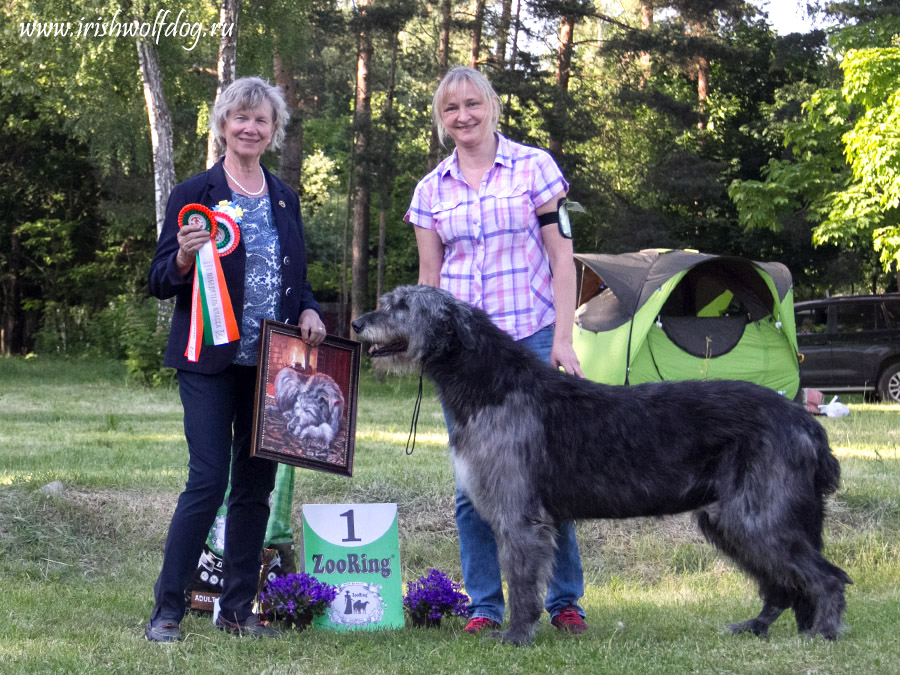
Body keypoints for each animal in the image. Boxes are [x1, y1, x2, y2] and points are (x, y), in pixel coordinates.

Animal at [352, 282, 852, 648]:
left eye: (402, 306)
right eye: (388, 302)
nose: (357, 322)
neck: (491, 382)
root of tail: (804, 421)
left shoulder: (519, 517)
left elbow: (521, 581)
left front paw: (516, 636)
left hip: (757, 514)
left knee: (826, 577)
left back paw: (822, 633)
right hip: (731, 518)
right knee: (783, 585)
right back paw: (759, 626)